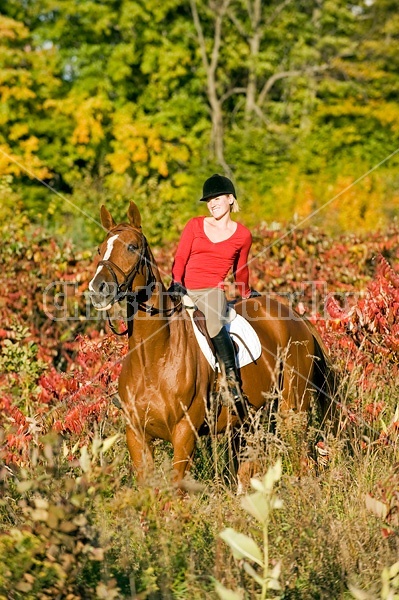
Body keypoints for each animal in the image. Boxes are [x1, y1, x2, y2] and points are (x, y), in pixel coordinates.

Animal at [89, 202, 336, 488]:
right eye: (100, 249)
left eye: (132, 247)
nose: (98, 289)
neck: (153, 356)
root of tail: (296, 317)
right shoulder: (136, 435)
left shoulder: (185, 433)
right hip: (251, 422)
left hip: (293, 408)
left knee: (304, 460)